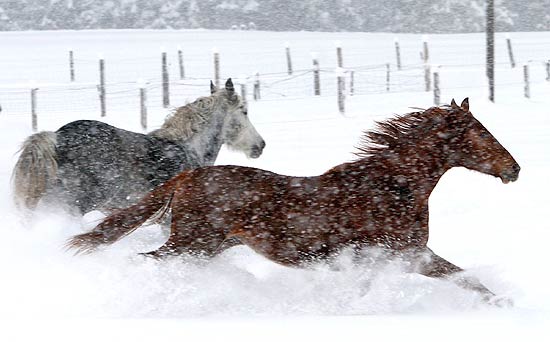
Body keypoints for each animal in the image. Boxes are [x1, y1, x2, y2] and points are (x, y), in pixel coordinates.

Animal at [68, 98, 520, 304]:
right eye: (481, 133)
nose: (514, 169)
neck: (391, 188)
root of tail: (188, 175)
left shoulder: (405, 256)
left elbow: (466, 279)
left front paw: (506, 304)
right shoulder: (393, 255)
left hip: (205, 247)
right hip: (191, 244)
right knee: (143, 261)